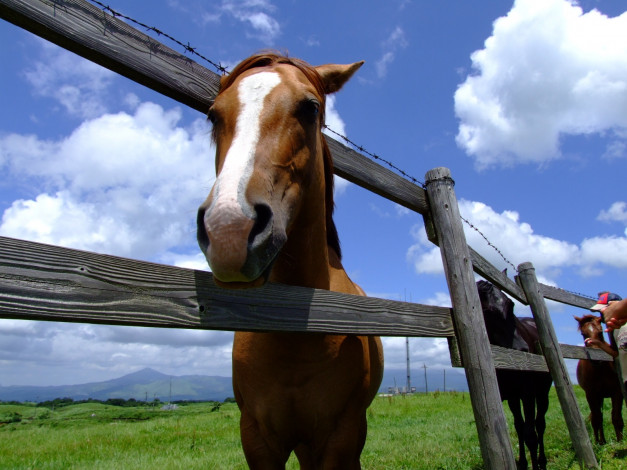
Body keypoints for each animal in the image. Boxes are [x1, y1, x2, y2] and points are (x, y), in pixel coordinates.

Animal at [478, 280, 552, 470]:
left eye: (511, 304)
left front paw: (535, 465)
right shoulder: (511, 396)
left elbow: (531, 435)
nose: (522, 348)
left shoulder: (528, 394)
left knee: (540, 424)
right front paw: (523, 463)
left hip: (542, 393)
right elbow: (519, 428)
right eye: (487, 311)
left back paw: (542, 461)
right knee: (522, 426)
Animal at [576, 316, 624, 444]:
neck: (600, 370)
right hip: (598, 397)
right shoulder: (591, 394)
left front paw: (620, 440)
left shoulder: (617, 393)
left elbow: (616, 416)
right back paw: (601, 440)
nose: (596, 359)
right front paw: (599, 442)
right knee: (597, 416)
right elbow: (597, 418)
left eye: (600, 332)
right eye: (583, 334)